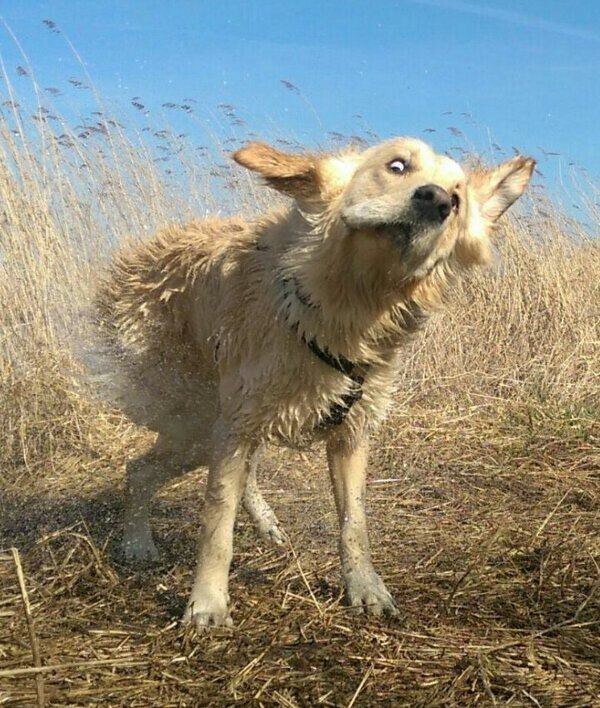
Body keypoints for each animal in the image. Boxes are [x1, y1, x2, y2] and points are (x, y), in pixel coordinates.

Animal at [94, 137, 536, 624]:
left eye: (457, 201)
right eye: (397, 165)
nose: (436, 200)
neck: (347, 312)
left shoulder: (351, 433)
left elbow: (353, 523)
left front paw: (366, 590)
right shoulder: (238, 423)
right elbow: (216, 524)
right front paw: (207, 605)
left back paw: (265, 524)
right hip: (199, 422)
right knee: (140, 469)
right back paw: (137, 544)